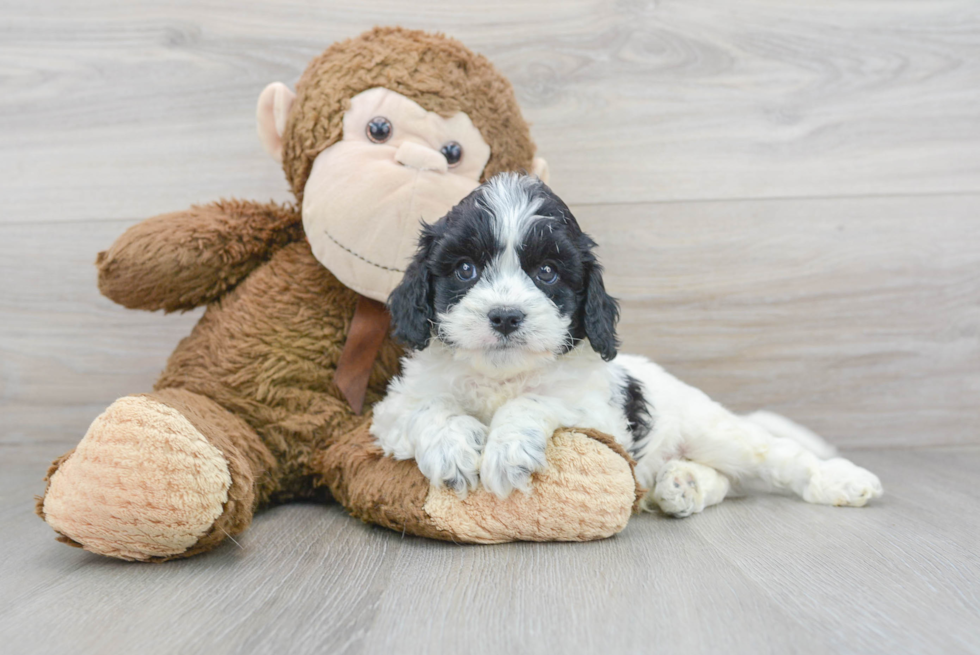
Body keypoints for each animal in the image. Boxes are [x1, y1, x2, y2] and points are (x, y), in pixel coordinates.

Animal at [372, 174, 884, 516]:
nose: (505, 316)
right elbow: (429, 408)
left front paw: (507, 450)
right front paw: (452, 448)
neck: (501, 377)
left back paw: (842, 480)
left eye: (547, 273)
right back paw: (683, 485)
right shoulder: (389, 415)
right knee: (724, 479)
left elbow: (534, 401)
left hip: (716, 432)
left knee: (780, 457)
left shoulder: (599, 419)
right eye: (465, 269)